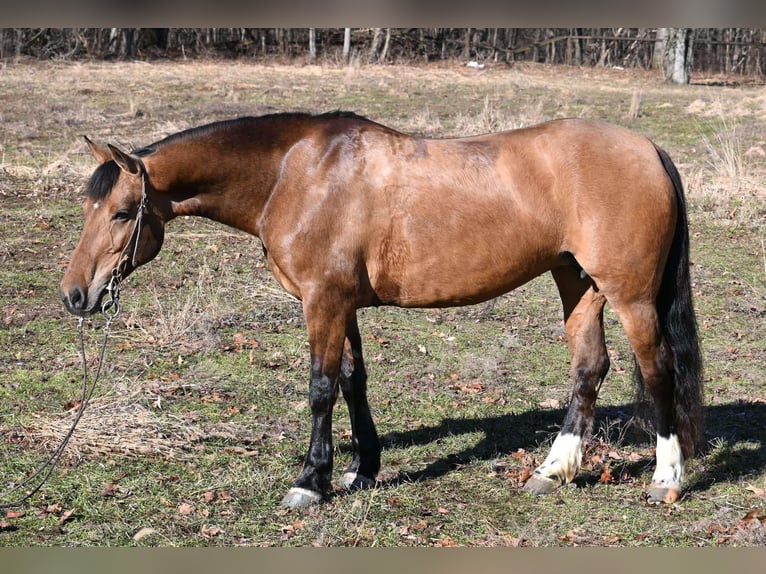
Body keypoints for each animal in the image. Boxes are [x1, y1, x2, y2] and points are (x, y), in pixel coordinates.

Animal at [60, 111, 703, 508]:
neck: (294, 174)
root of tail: (648, 149)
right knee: (589, 369)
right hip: (578, 282)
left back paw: (666, 479)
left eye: (122, 213)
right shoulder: (340, 303)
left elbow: (321, 387)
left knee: (658, 371)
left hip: (631, 297)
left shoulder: (322, 301)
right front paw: (361, 469)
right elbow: (352, 380)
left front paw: (310, 482)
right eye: (88, 207)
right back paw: (553, 471)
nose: (75, 295)